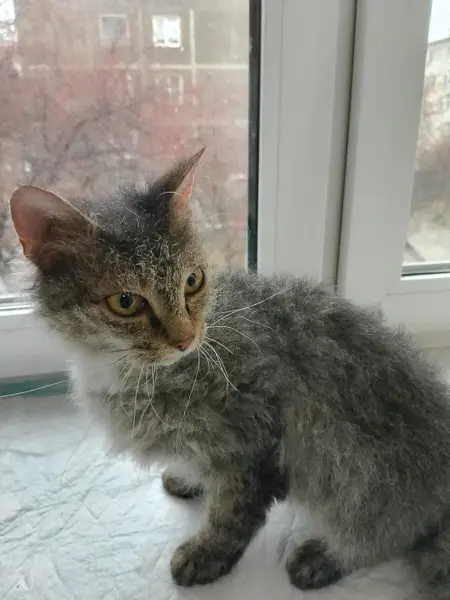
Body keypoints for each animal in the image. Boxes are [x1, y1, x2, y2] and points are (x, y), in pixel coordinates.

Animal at [9, 149, 450, 599]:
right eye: (126, 302)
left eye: (192, 281)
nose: (186, 338)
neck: (127, 373)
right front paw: (189, 477)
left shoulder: (255, 446)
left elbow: (232, 516)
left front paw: (206, 554)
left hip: (361, 476)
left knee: (384, 534)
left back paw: (323, 557)